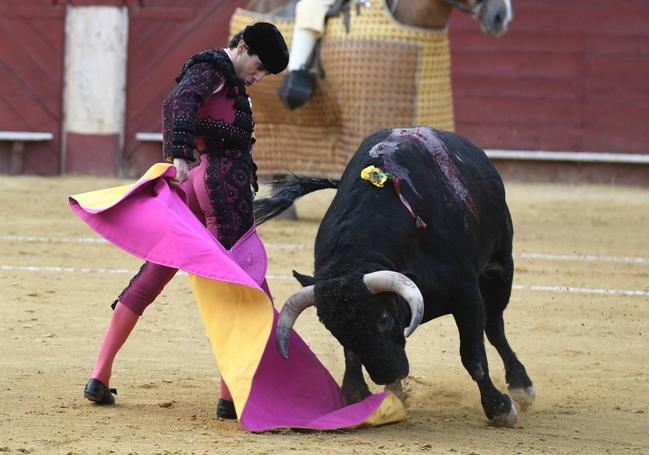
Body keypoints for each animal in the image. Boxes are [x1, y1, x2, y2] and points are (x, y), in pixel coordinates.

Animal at [256, 125, 536, 428]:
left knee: (495, 327)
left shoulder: (466, 293)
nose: (389, 375)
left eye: (383, 319)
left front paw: (499, 408)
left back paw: (521, 386)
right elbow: (352, 355)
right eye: (333, 330)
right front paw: (364, 394)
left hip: (500, 266)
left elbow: (472, 355)